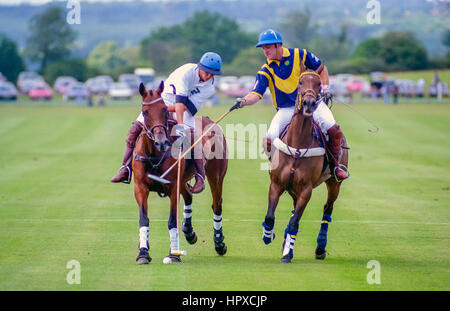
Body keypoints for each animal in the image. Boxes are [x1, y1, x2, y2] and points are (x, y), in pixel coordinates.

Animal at [132, 81, 227, 264]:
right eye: (144, 112)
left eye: (164, 109)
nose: (161, 142)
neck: (155, 153)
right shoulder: (140, 187)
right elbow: (143, 218)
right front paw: (143, 253)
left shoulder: (172, 187)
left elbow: (171, 220)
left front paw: (173, 255)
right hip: (183, 180)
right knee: (189, 196)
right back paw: (189, 232)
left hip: (216, 176)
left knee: (216, 204)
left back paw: (219, 243)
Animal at [260, 72, 348, 264]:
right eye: (300, 82)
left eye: (319, 84)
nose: (309, 103)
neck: (298, 145)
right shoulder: (276, 184)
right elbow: (270, 217)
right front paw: (269, 236)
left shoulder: (306, 190)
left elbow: (295, 222)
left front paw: (287, 253)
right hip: (293, 188)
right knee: (294, 210)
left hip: (334, 183)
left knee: (327, 209)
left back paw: (320, 248)